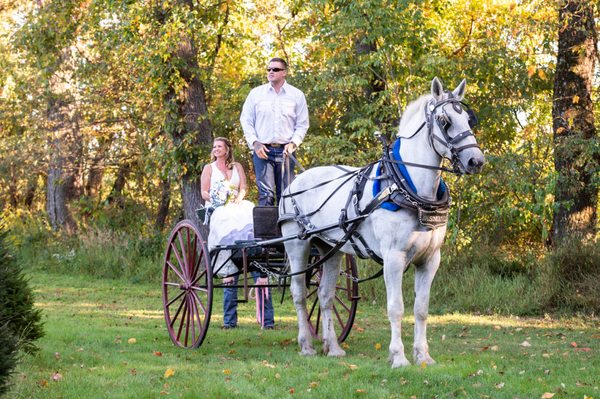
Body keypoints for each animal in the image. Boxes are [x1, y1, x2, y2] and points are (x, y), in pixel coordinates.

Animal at [278, 78, 486, 368]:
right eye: (444, 120)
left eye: (468, 119)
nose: (476, 161)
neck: (407, 187)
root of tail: (294, 182)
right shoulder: (394, 257)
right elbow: (396, 308)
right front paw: (398, 356)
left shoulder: (430, 259)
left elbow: (421, 309)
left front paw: (423, 355)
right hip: (297, 245)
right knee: (299, 294)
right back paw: (306, 345)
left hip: (330, 249)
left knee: (325, 296)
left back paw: (333, 347)